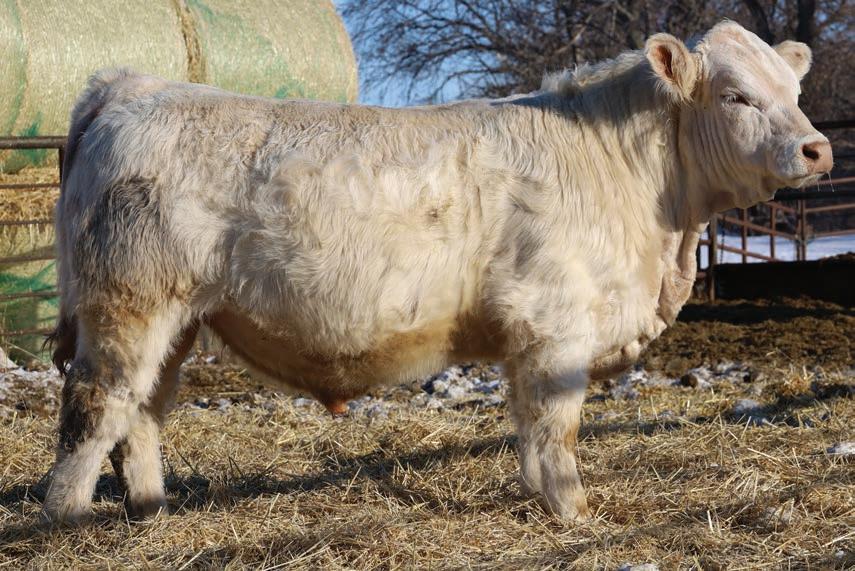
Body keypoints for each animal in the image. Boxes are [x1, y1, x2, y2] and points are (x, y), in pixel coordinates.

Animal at [43, 21, 832, 524]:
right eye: (735, 95)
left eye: (792, 92)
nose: (817, 148)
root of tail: (133, 86)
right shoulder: (554, 326)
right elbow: (555, 426)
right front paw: (573, 511)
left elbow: (535, 427)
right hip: (128, 303)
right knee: (96, 405)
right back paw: (65, 517)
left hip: (176, 318)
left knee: (143, 411)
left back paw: (149, 509)